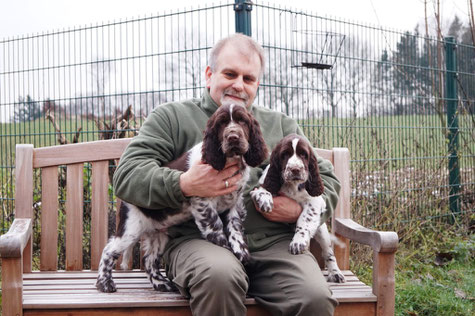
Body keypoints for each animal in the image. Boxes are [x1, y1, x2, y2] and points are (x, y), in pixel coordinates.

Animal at [96, 104, 268, 294]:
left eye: (242, 121)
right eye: (222, 123)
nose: (233, 137)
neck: (229, 160)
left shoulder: (234, 203)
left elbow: (235, 229)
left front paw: (241, 252)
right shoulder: (202, 201)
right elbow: (215, 226)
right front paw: (224, 247)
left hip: (158, 233)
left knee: (149, 260)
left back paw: (161, 283)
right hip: (131, 228)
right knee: (108, 250)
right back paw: (105, 283)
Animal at [253, 134, 346, 284]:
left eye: (303, 154)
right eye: (285, 154)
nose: (295, 169)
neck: (292, 185)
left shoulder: (314, 201)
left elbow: (305, 220)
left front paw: (298, 242)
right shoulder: (265, 184)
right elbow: (264, 189)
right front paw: (265, 200)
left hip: (322, 232)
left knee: (328, 253)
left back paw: (335, 273)